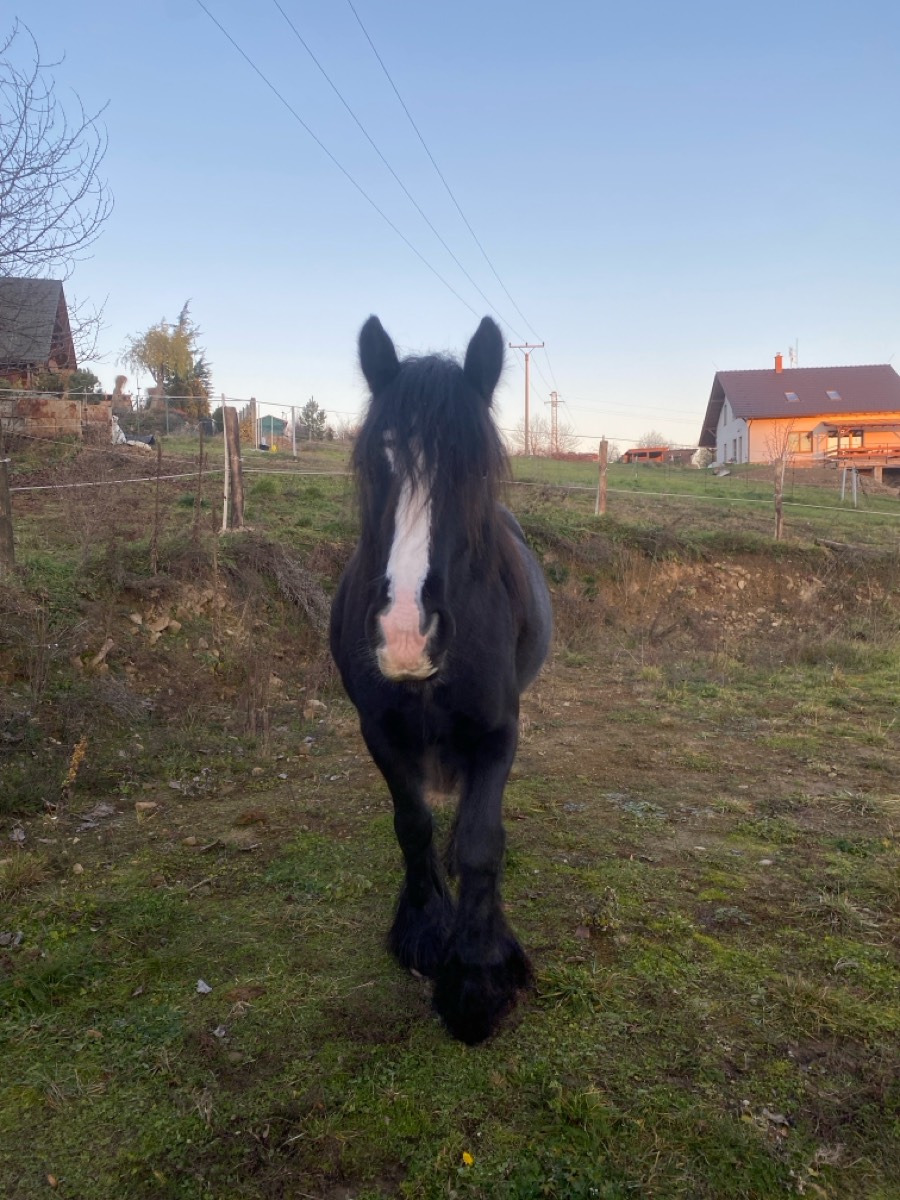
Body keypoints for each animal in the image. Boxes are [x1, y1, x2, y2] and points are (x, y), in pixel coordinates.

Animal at [329, 315, 552, 1044]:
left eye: (476, 468)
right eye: (374, 464)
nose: (405, 633)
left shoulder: (499, 731)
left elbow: (482, 841)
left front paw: (479, 978)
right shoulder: (378, 730)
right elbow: (413, 824)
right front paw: (425, 931)